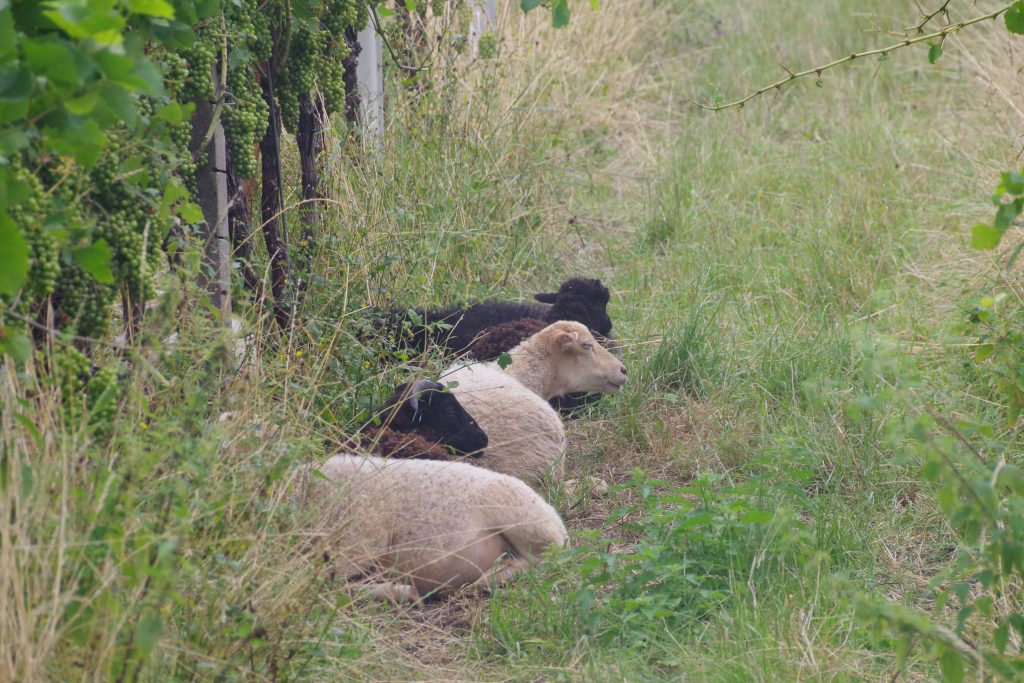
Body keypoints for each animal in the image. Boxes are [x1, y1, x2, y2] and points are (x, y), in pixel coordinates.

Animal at [299, 454, 568, 603]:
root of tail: (557, 521)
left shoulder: (361, 538)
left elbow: (323, 586)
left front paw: (399, 592)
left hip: (522, 517)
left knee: (546, 558)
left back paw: (489, 578)